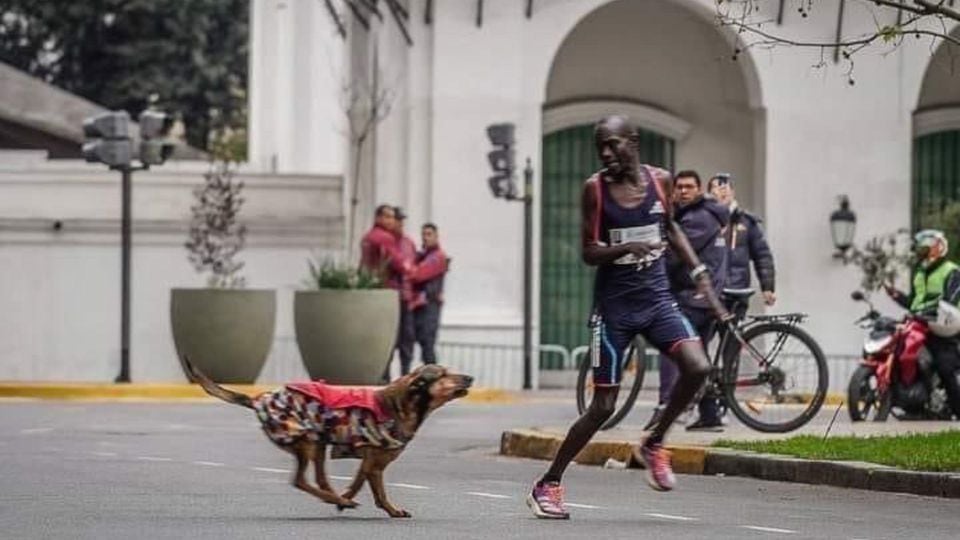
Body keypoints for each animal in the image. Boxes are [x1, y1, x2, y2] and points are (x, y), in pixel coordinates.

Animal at [181, 356, 472, 516]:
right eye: (444, 375)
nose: (470, 377)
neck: (402, 405)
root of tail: (260, 399)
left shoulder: (371, 463)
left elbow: (363, 485)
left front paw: (353, 499)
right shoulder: (375, 462)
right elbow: (374, 489)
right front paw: (385, 508)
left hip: (318, 442)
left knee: (320, 479)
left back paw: (335, 497)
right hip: (307, 441)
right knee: (300, 480)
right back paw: (336, 498)